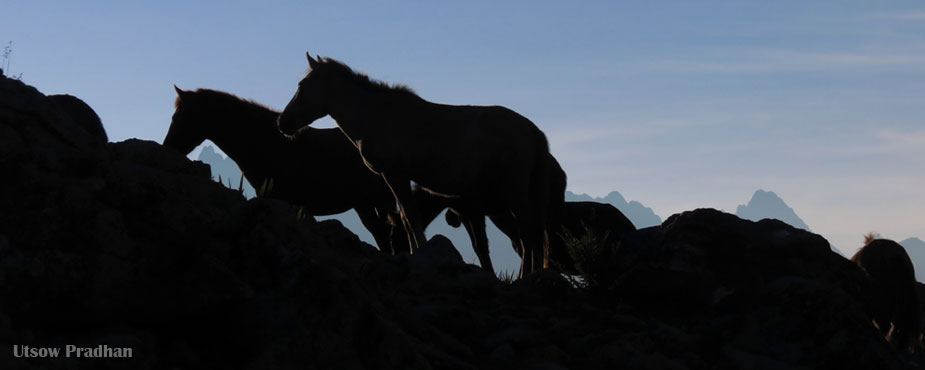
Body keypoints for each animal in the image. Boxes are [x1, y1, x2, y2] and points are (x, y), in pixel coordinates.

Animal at [280, 52, 556, 278]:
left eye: (302, 85)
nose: (283, 122)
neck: (377, 115)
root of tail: (534, 132)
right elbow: (406, 216)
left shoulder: (395, 176)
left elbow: (409, 216)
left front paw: (418, 253)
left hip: (514, 193)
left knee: (528, 235)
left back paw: (525, 276)